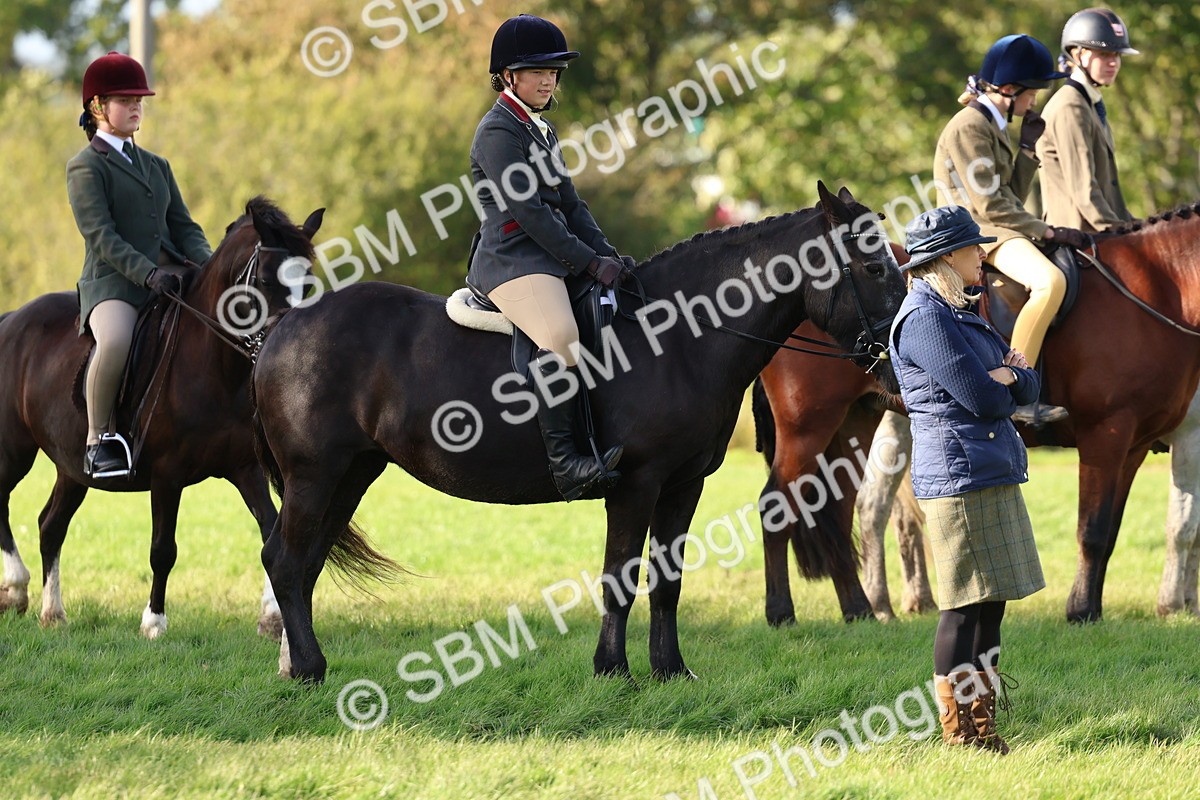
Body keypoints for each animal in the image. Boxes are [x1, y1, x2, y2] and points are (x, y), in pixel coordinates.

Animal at [0, 197, 322, 638]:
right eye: (266, 281)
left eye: (307, 284)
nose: (289, 344)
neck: (214, 367)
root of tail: (12, 319)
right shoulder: (167, 475)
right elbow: (163, 549)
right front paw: (153, 621)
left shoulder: (245, 468)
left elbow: (270, 530)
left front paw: (273, 619)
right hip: (13, 450)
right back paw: (16, 588)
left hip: (72, 468)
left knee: (51, 525)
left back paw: (53, 612)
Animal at [250, 183, 906, 683]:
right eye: (874, 266)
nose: (900, 358)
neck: (676, 338)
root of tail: (286, 324)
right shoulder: (636, 483)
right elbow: (621, 576)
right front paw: (613, 669)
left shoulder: (683, 485)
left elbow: (667, 580)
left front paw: (671, 670)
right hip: (315, 476)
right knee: (285, 560)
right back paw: (308, 669)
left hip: (350, 475)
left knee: (304, 563)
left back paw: (296, 666)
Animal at [764, 203, 1200, 623]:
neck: (1156, 287)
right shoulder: (1107, 434)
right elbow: (1094, 531)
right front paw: (1082, 610)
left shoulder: (1136, 445)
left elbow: (1126, 531)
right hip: (810, 426)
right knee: (781, 504)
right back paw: (789, 612)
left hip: (855, 422)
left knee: (846, 513)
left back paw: (863, 608)